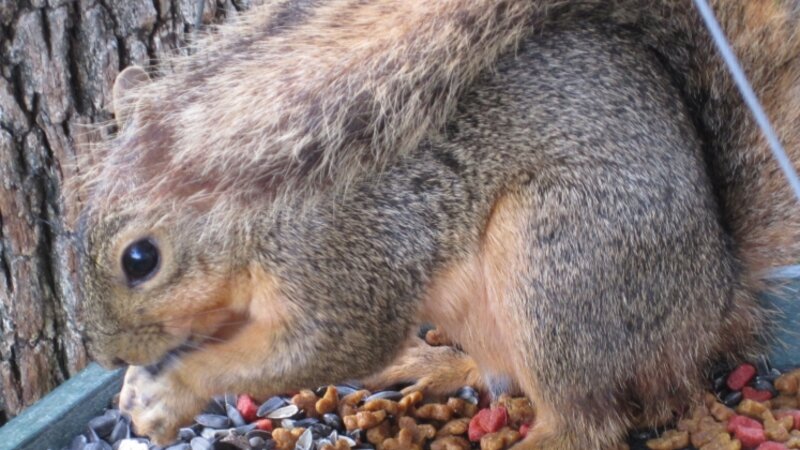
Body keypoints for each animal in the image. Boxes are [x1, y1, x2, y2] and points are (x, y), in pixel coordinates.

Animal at [75, 1, 800, 449]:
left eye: (140, 259)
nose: (107, 356)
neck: (259, 215)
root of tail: (712, 302)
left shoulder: (346, 257)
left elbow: (327, 347)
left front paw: (173, 389)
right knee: (501, 374)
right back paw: (433, 363)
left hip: (561, 267)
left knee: (585, 424)